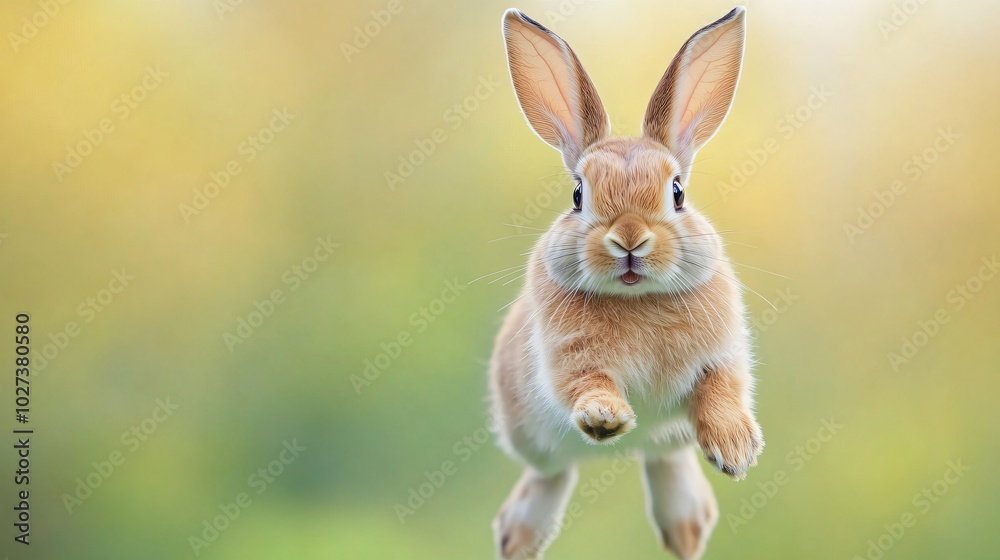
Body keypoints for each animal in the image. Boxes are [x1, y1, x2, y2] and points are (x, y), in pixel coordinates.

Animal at [488, 6, 762, 560]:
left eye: (677, 192)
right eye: (578, 194)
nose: (630, 239)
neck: (639, 299)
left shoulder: (725, 354)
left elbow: (722, 387)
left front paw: (736, 449)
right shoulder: (568, 358)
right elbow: (587, 384)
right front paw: (605, 418)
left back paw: (687, 531)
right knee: (551, 476)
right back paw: (517, 538)